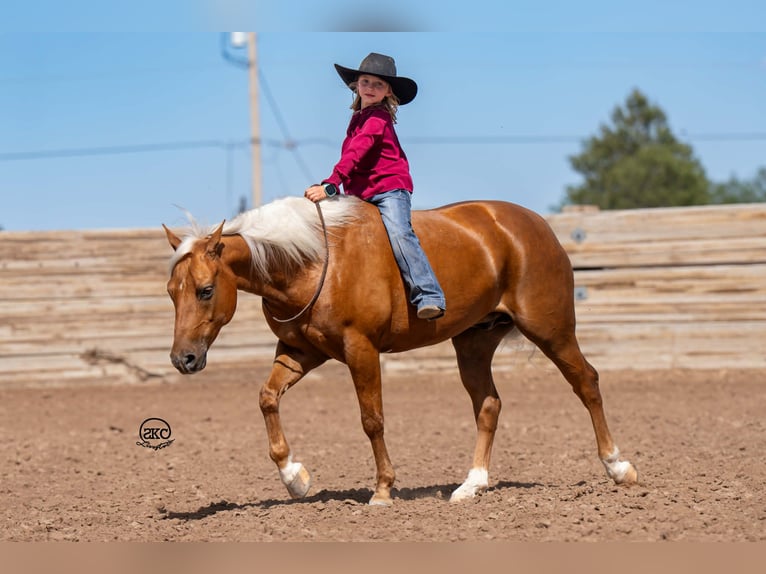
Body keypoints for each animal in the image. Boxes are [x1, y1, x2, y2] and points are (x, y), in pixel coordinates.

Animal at [163, 195, 637, 505]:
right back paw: (472, 485)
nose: (182, 359)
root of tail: (534, 226)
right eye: (171, 291)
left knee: (586, 382)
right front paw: (295, 479)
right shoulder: (300, 352)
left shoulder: (361, 349)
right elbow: (267, 398)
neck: (312, 262)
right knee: (488, 404)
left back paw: (618, 467)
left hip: (551, 330)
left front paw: (383, 490)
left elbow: (372, 420)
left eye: (205, 290)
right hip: (474, 343)